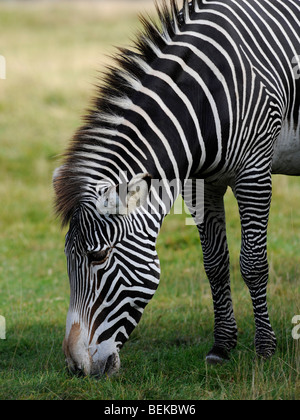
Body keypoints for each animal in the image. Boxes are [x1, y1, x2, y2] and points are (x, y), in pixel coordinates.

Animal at [54, 0, 300, 376]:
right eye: (67, 257)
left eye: (99, 256)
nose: (75, 368)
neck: (205, 99)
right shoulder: (202, 183)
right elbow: (214, 264)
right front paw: (222, 346)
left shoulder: (254, 171)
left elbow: (253, 262)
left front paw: (265, 349)